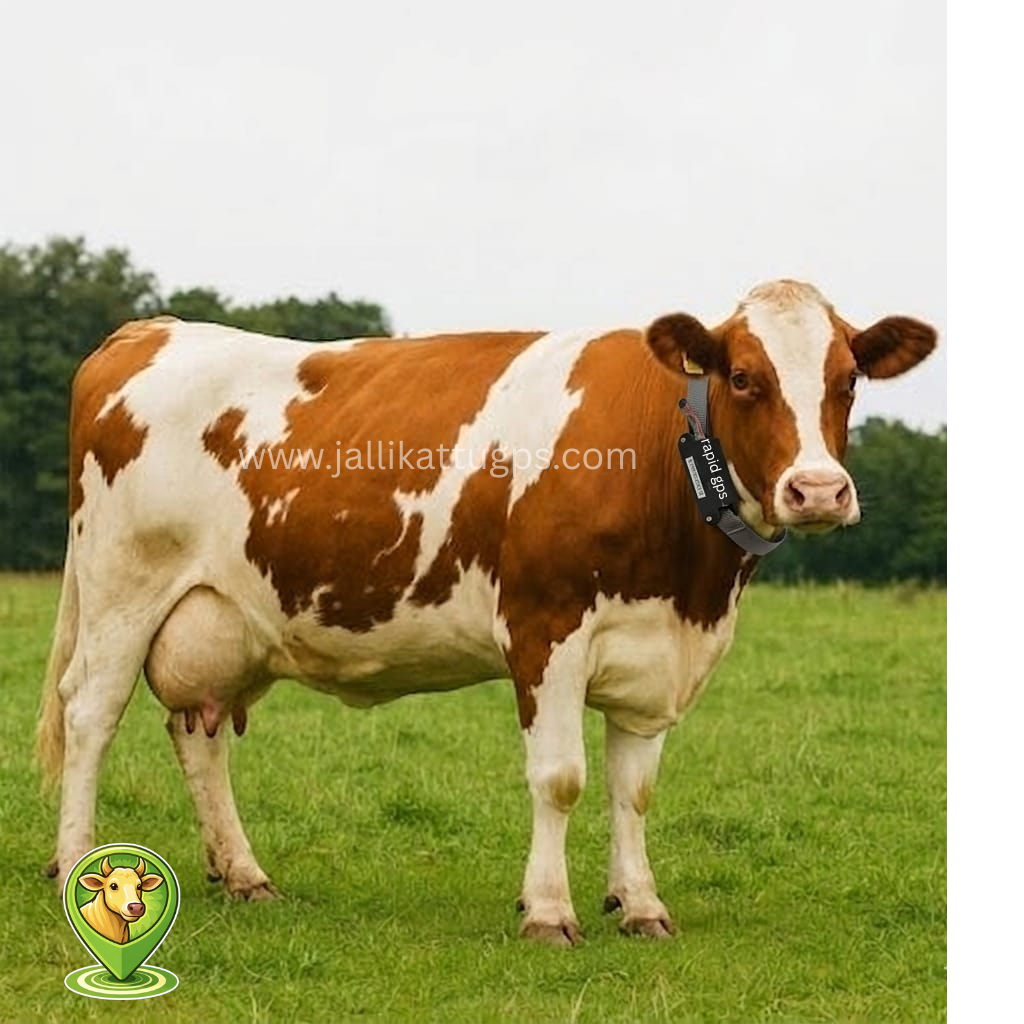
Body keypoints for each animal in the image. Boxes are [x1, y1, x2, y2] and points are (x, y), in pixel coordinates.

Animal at [37, 279, 936, 945]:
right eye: (744, 377)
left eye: (848, 380)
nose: (818, 490)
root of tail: (149, 329)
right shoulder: (546, 629)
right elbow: (561, 778)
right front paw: (548, 912)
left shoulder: (656, 654)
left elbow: (635, 791)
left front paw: (640, 905)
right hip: (122, 589)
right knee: (91, 716)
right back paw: (78, 863)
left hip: (217, 619)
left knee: (199, 730)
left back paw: (245, 874)